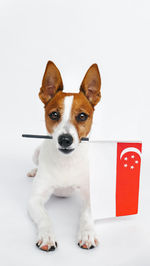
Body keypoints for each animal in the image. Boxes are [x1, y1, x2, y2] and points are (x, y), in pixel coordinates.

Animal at [27, 60, 101, 251]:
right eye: (54, 114)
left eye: (82, 116)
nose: (65, 140)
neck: (66, 162)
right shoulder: (35, 200)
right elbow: (45, 218)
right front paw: (47, 236)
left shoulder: (89, 197)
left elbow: (87, 216)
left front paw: (87, 234)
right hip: (35, 153)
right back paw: (33, 171)